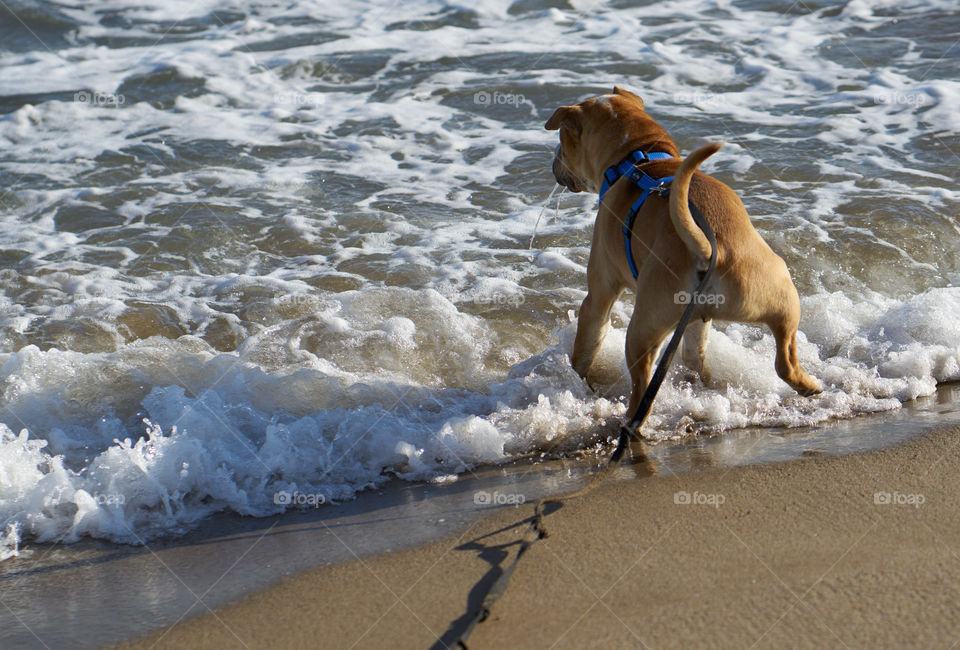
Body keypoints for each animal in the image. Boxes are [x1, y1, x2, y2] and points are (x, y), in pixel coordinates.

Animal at [544, 86, 820, 412]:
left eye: (563, 140)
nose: (553, 162)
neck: (639, 160)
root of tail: (708, 248)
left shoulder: (599, 294)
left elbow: (586, 346)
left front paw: (577, 379)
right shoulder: (697, 320)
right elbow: (694, 350)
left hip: (643, 327)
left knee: (642, 389)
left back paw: (630, 419)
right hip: (781, 298)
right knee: (784, 361)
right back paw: (810, 387)